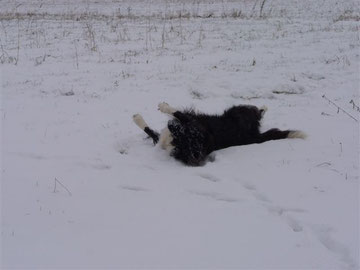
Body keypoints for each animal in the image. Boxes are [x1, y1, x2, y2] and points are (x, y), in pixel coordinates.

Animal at [133, 102, 306, 166]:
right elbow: (150, 131)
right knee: (258, 113)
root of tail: (254, 137)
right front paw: (137, 118)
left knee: (256, 110)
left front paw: (163, 106)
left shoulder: (193, 124)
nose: (172, 125)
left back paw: (263, 107)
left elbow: (177, 113)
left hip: (237, 109)